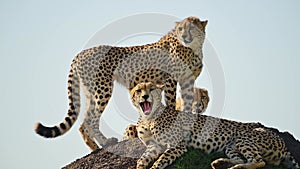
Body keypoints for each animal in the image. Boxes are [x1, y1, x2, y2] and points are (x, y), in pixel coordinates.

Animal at [34, 16, 207, 150]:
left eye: (191, 28)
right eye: (180, 29)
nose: (184, 36)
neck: (192, 47)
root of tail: (80, 54)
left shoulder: (187, 81)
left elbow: (187, 102)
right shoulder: (170, 79)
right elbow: (172, 102)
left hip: (92, 92)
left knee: (84, 122)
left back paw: (94, 147)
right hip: (103, 88)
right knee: (92, 119)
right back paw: (105, 142)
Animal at [127, 83, 298, 169]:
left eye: (152, 89)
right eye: (139, 90)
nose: (145, 96)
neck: (148, 117)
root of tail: (282, 142)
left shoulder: (177, 145)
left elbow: (161, 159)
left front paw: (154, 166)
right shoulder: (152, 146)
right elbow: (141, 159)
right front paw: (141, 165)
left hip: (244, 138)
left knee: (260, 161)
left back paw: (234, 167)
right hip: (231, 146)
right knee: (245, 159)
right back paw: (221, 163)